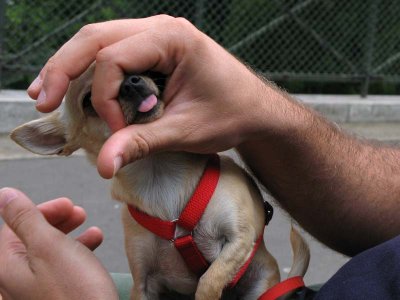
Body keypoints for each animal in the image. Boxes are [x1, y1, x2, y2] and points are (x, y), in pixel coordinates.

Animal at [10, 65, 310, 300]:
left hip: (261, 280)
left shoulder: (241, 237)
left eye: (139, 69)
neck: (159, 173)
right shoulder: (144, 281)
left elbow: (210, 280)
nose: (130, 82)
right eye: (89, 101)